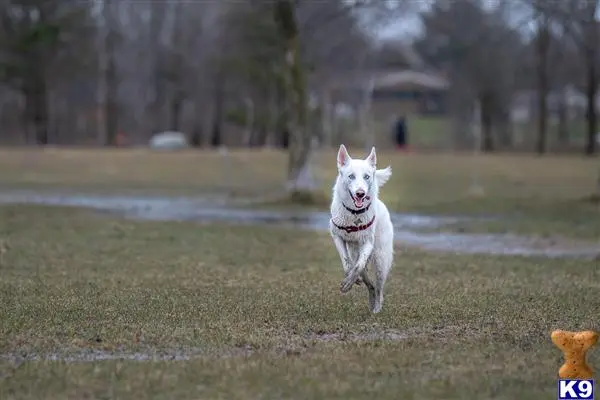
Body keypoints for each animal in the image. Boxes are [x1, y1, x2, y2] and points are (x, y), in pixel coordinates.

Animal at [328, 145, 394, 314]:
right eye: (351, 176)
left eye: (366, 177)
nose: (360, 193)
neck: (354, 214)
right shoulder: (337, 237)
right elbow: (347, 264)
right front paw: (350, 280)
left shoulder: (368, 243)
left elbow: (357, 266)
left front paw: (347, 283)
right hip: (356, 253)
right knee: (369, 282)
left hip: (380, 260)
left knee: (378, 288)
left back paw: (376, 308)